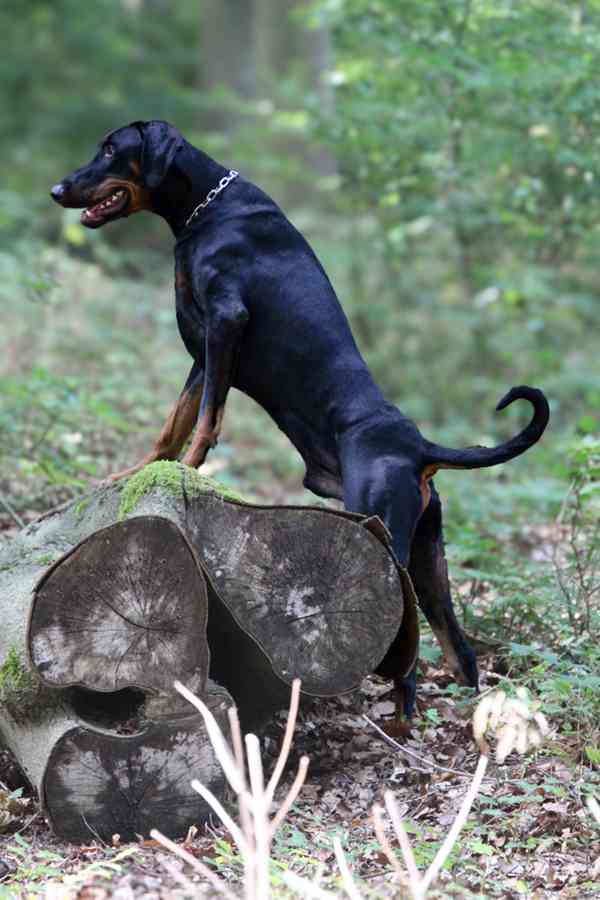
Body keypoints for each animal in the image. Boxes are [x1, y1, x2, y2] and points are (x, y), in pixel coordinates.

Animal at [51, 121, 548, 716]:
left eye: (110, 149)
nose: (57, 189)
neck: (205, 207)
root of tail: (419, 448)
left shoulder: (225, 323)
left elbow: (206, 423)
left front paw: (189, 472)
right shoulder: (204, 353)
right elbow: (175, 423)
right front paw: (133, 473)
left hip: (387, 535)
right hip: (431, 558)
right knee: (461, 652)